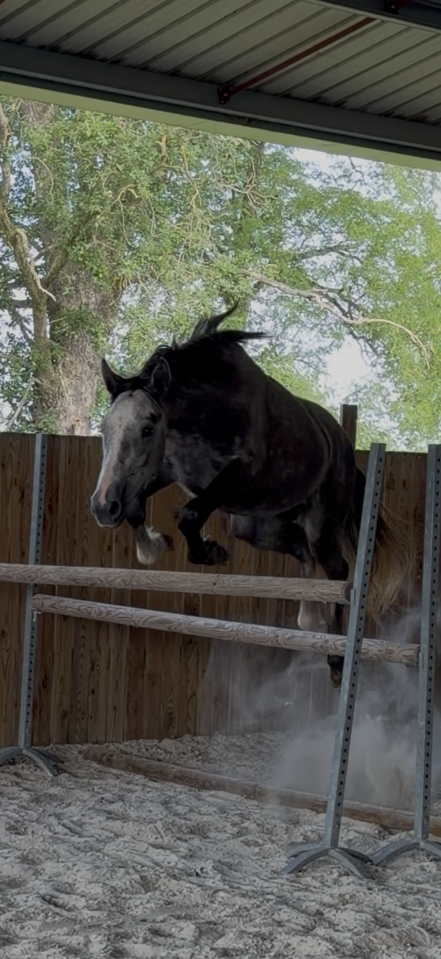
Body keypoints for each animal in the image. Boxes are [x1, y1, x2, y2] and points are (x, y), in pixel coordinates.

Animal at [91, 306, 409, 686]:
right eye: (105, 428)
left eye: (148, 428)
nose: (102, 508)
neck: (206, 411)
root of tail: (345, 446)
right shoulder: (164, 471)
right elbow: (137, 508)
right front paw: (154, 546)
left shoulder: (240, 476)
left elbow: (191, 513)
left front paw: (209, 551)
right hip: (255, 528)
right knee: (301, 552)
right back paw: (308, 617)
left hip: (319, 527)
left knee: (337, 570)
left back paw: (334, 657)